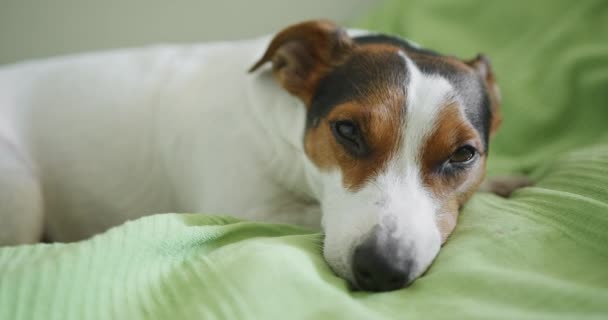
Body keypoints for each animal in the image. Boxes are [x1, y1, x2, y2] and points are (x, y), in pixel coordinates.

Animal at [0, 19, 528, 290]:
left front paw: (502, 180)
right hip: (20, 185)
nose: (383, 270)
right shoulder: (244, 206)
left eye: (463, 154)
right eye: (347, 131)